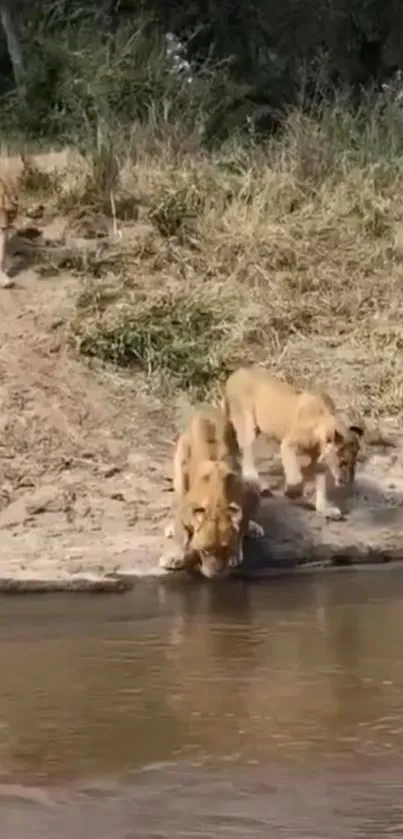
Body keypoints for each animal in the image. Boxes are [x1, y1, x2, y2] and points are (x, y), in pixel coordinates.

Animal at [161, 406, 266, 576]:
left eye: (226, 548)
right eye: (206, 550)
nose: (217, 574)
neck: (216, 501)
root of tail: (207, 409)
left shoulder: (247, 494)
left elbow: (242, 525)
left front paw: (235, 554)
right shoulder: (186, 504)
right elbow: (181, 531)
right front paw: (175, 556)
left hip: (252, 480)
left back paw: (253, 528)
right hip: (180, 472)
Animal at [223, 366, 364, 520]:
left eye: (354, 463)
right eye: (343, 462)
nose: (348, 482)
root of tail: (235, 373)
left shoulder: (318, 461)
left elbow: (320, 485)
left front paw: (324, 509)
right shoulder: (288, 444)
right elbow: (296, 475)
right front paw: (293, 492)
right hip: (246, 422)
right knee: (247, 452)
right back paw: (257, 482)